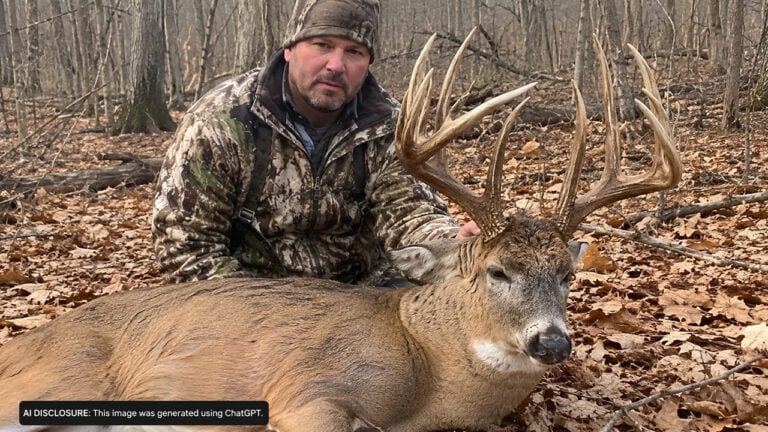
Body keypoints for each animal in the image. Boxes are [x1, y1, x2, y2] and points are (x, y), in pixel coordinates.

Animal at [0, 30, 681, 432]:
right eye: (497, 270)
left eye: (567, 274)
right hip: (67, 376)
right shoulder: (307, 389)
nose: (553, 342)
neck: (427, 379)